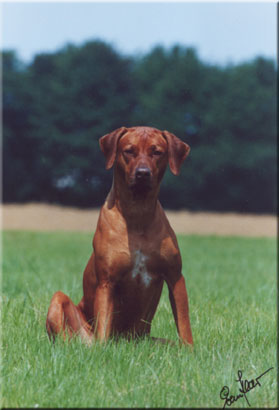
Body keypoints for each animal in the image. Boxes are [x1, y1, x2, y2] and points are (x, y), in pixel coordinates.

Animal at [46, 125, 195, 346]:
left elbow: (184, 323)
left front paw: (189, 350)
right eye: (129, 151)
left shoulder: (175, 276)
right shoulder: (107, 281)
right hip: (60, 303)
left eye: (157, 152)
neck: (137, 214)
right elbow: (103, 324)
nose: (143, 174)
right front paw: (102, 350)